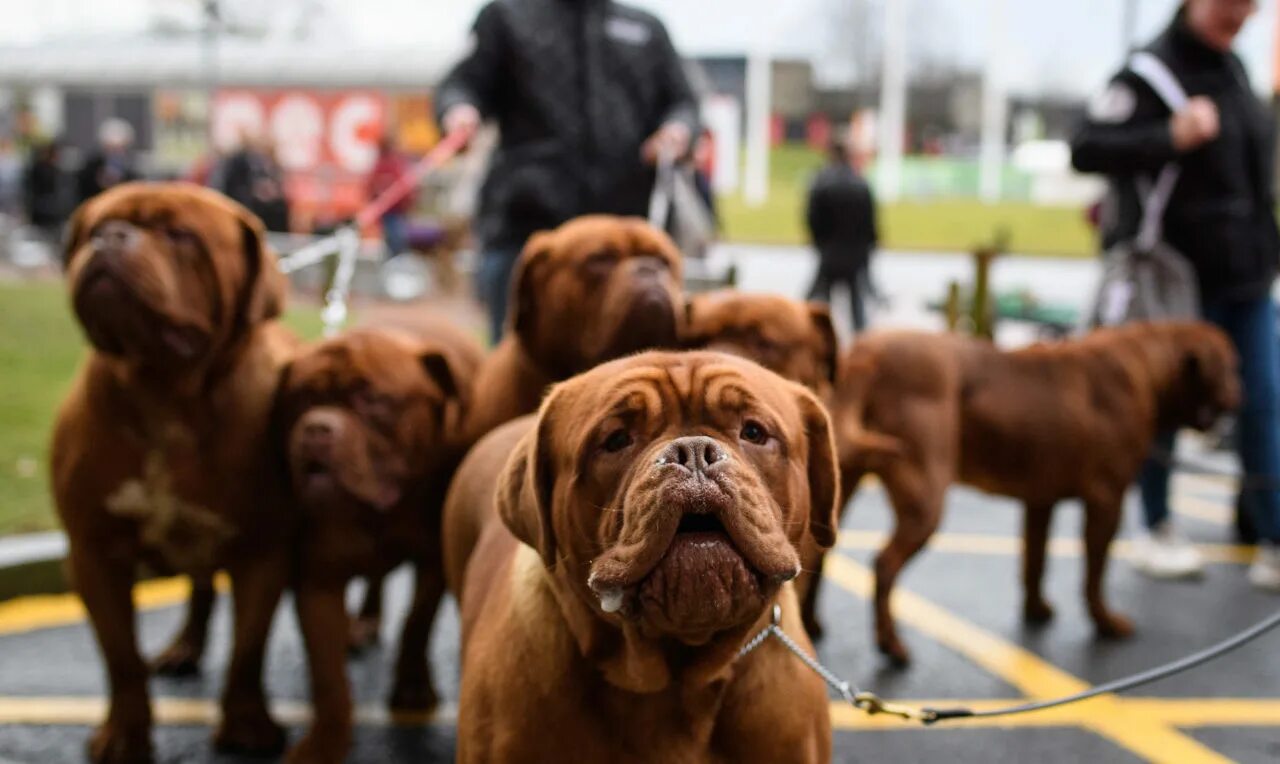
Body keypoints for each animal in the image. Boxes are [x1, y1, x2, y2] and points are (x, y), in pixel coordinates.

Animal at [51, 181, 294, 757]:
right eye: (95, 227)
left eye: (182, 235)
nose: (112, 237)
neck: (164, 395)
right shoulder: (93, 554)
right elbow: (120, 657)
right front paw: (124, 734)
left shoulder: (264, 552)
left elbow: (248, 649)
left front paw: (246, 724)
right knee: (199, 590)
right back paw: (184, 646)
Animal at [275, 318, 481, 757]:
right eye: (303, 397)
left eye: (371, 398)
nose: (316, 427)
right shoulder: (317, 579)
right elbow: (328, 673)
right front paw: (325, 741)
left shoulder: (434, 563)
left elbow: (416, 622)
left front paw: (412, 685)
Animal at [829, 321, 1239, 660]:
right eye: (1233, 367)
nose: (1244, 393)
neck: (1147, 365)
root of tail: (868, 352)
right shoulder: (1107, 501)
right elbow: (1094, 574)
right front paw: (1105, 622)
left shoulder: (1040, 501)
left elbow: (1035, 560)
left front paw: (1036, 610)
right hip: (925, 497)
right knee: (884, 565)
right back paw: (891, 645)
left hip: (841, 485)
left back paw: (819, 627)